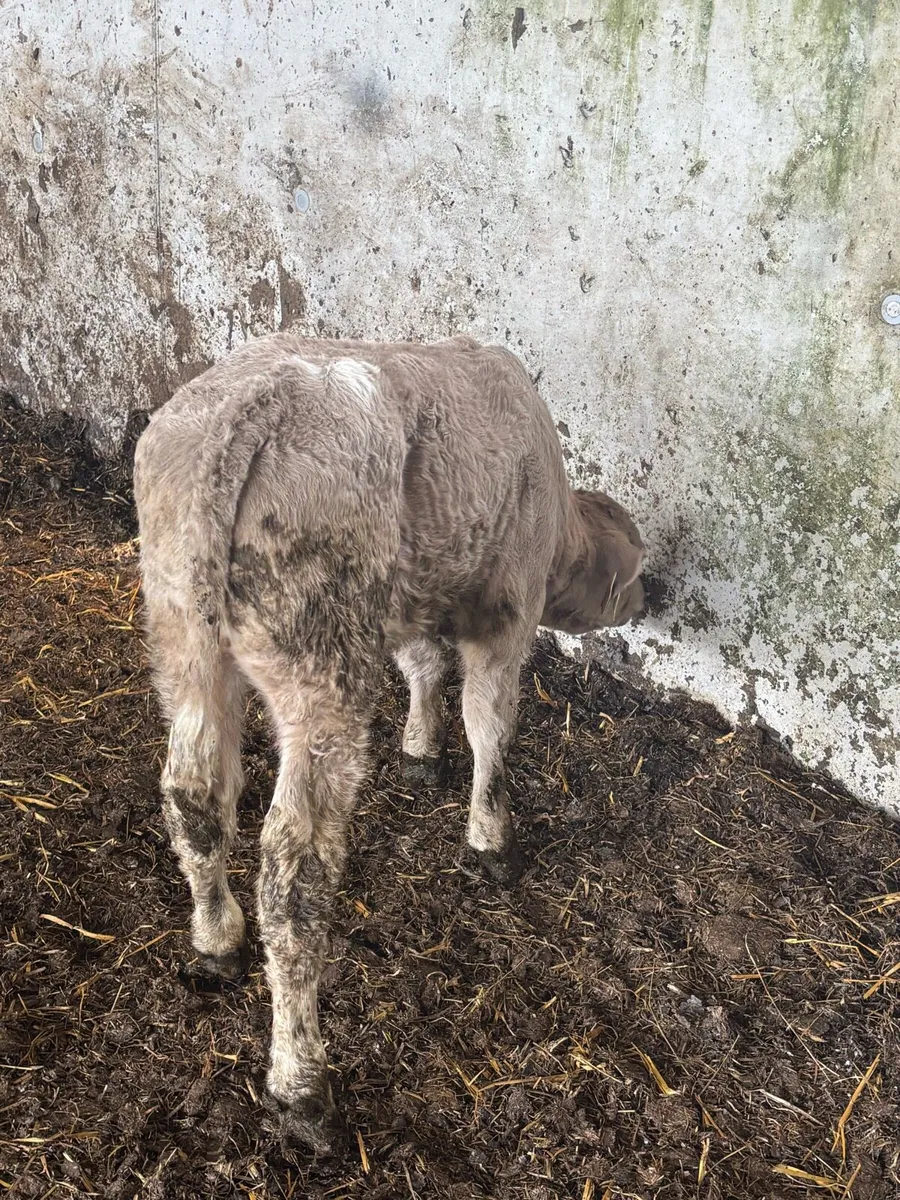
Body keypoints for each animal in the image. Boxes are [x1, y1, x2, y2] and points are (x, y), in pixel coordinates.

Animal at [133, 333, 646, 1152]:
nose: (649, 598)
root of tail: (242, 411)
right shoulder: (508, 603)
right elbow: (490, 719)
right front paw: (491, 837)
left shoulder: (415, 596)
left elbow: (424, 664)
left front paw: (420, 749)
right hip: (321, 663)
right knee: (293, 874)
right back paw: (301, 1084)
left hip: (184, 637)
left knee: (193, 797)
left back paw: (215, 939)